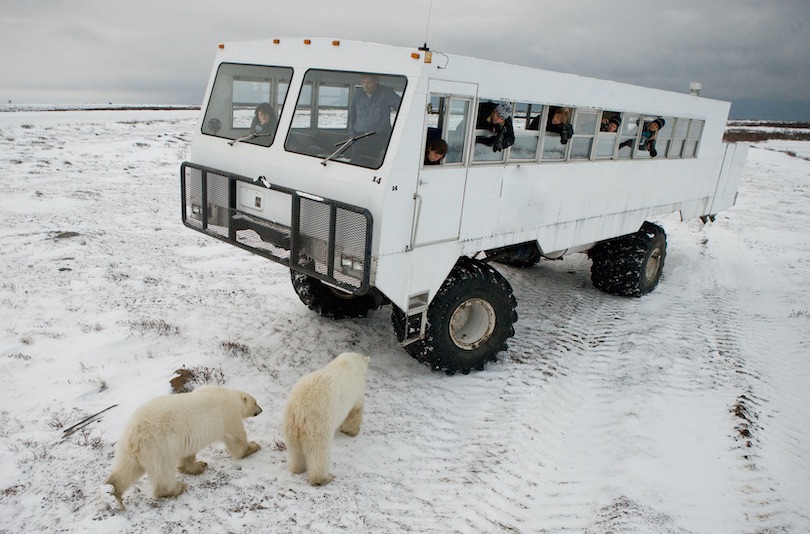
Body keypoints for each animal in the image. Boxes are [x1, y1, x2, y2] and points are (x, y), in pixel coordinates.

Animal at [104, 386, 260, 510]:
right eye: (255, 402)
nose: (261, 410)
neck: (227, 394)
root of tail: (134, 434)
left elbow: (188, 454)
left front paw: (198, 465)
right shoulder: (228, 414)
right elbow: (236, 437)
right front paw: (253, 446)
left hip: (129, 448)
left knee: (127, 469)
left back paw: (112, 491)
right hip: (158, 445)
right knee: (163, 470)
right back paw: (176, 488)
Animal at [282, 354, 370, 488]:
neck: (351, 361)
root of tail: (300, 408)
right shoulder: (358, 389)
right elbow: (355, 411)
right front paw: (352, 431)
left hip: (290, 421)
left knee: (294, 448)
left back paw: (296, 468)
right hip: (319, 421)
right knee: (319, 451)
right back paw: (324, 478)